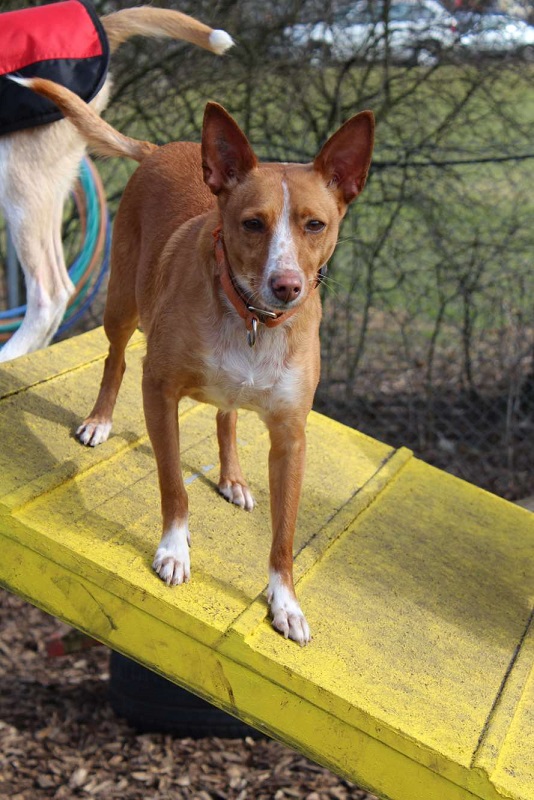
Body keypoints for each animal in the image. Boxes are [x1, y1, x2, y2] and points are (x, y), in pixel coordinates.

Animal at [15, 75, 374, 644]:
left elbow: (284, 534)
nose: (287, 286)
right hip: (122, 303)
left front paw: (285, 601)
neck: (252, 318)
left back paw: (232, 477)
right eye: (252, 223)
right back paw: (99, 420)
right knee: (116, 360)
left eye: (315, 224)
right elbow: (173, 485)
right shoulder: (159, 392)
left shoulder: (291, 437)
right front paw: (174, 549)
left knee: (227, 415)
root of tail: (163, 148)